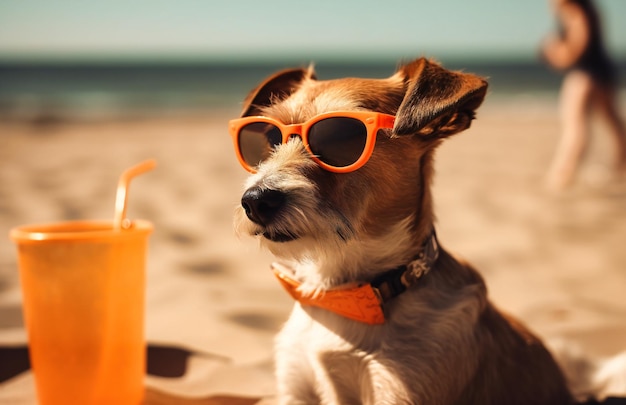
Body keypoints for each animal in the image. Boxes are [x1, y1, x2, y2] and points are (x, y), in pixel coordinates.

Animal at [229, 57, 620, 404]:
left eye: (340, 138)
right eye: (269, 138)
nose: (256, 200)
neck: (345, 295)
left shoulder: (400, 389)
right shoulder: (296, 385)